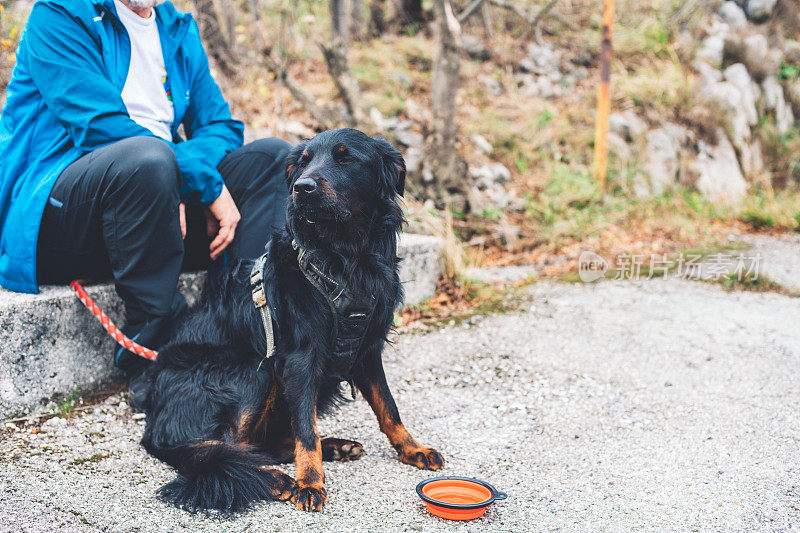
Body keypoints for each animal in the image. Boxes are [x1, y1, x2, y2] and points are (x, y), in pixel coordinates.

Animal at [136, 128, 444, 512]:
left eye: (346, 158)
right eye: (303, 162)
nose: (302, 187)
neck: (344, 257)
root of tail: (155, 422)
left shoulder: (368, 348)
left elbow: (389, 407)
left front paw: (412, 448)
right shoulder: (300, 358)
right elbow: (306, 431)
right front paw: (310, 482)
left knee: (265, 444)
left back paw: (334, 447)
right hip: (251, 371)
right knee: (229, 450)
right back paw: (274, 479)